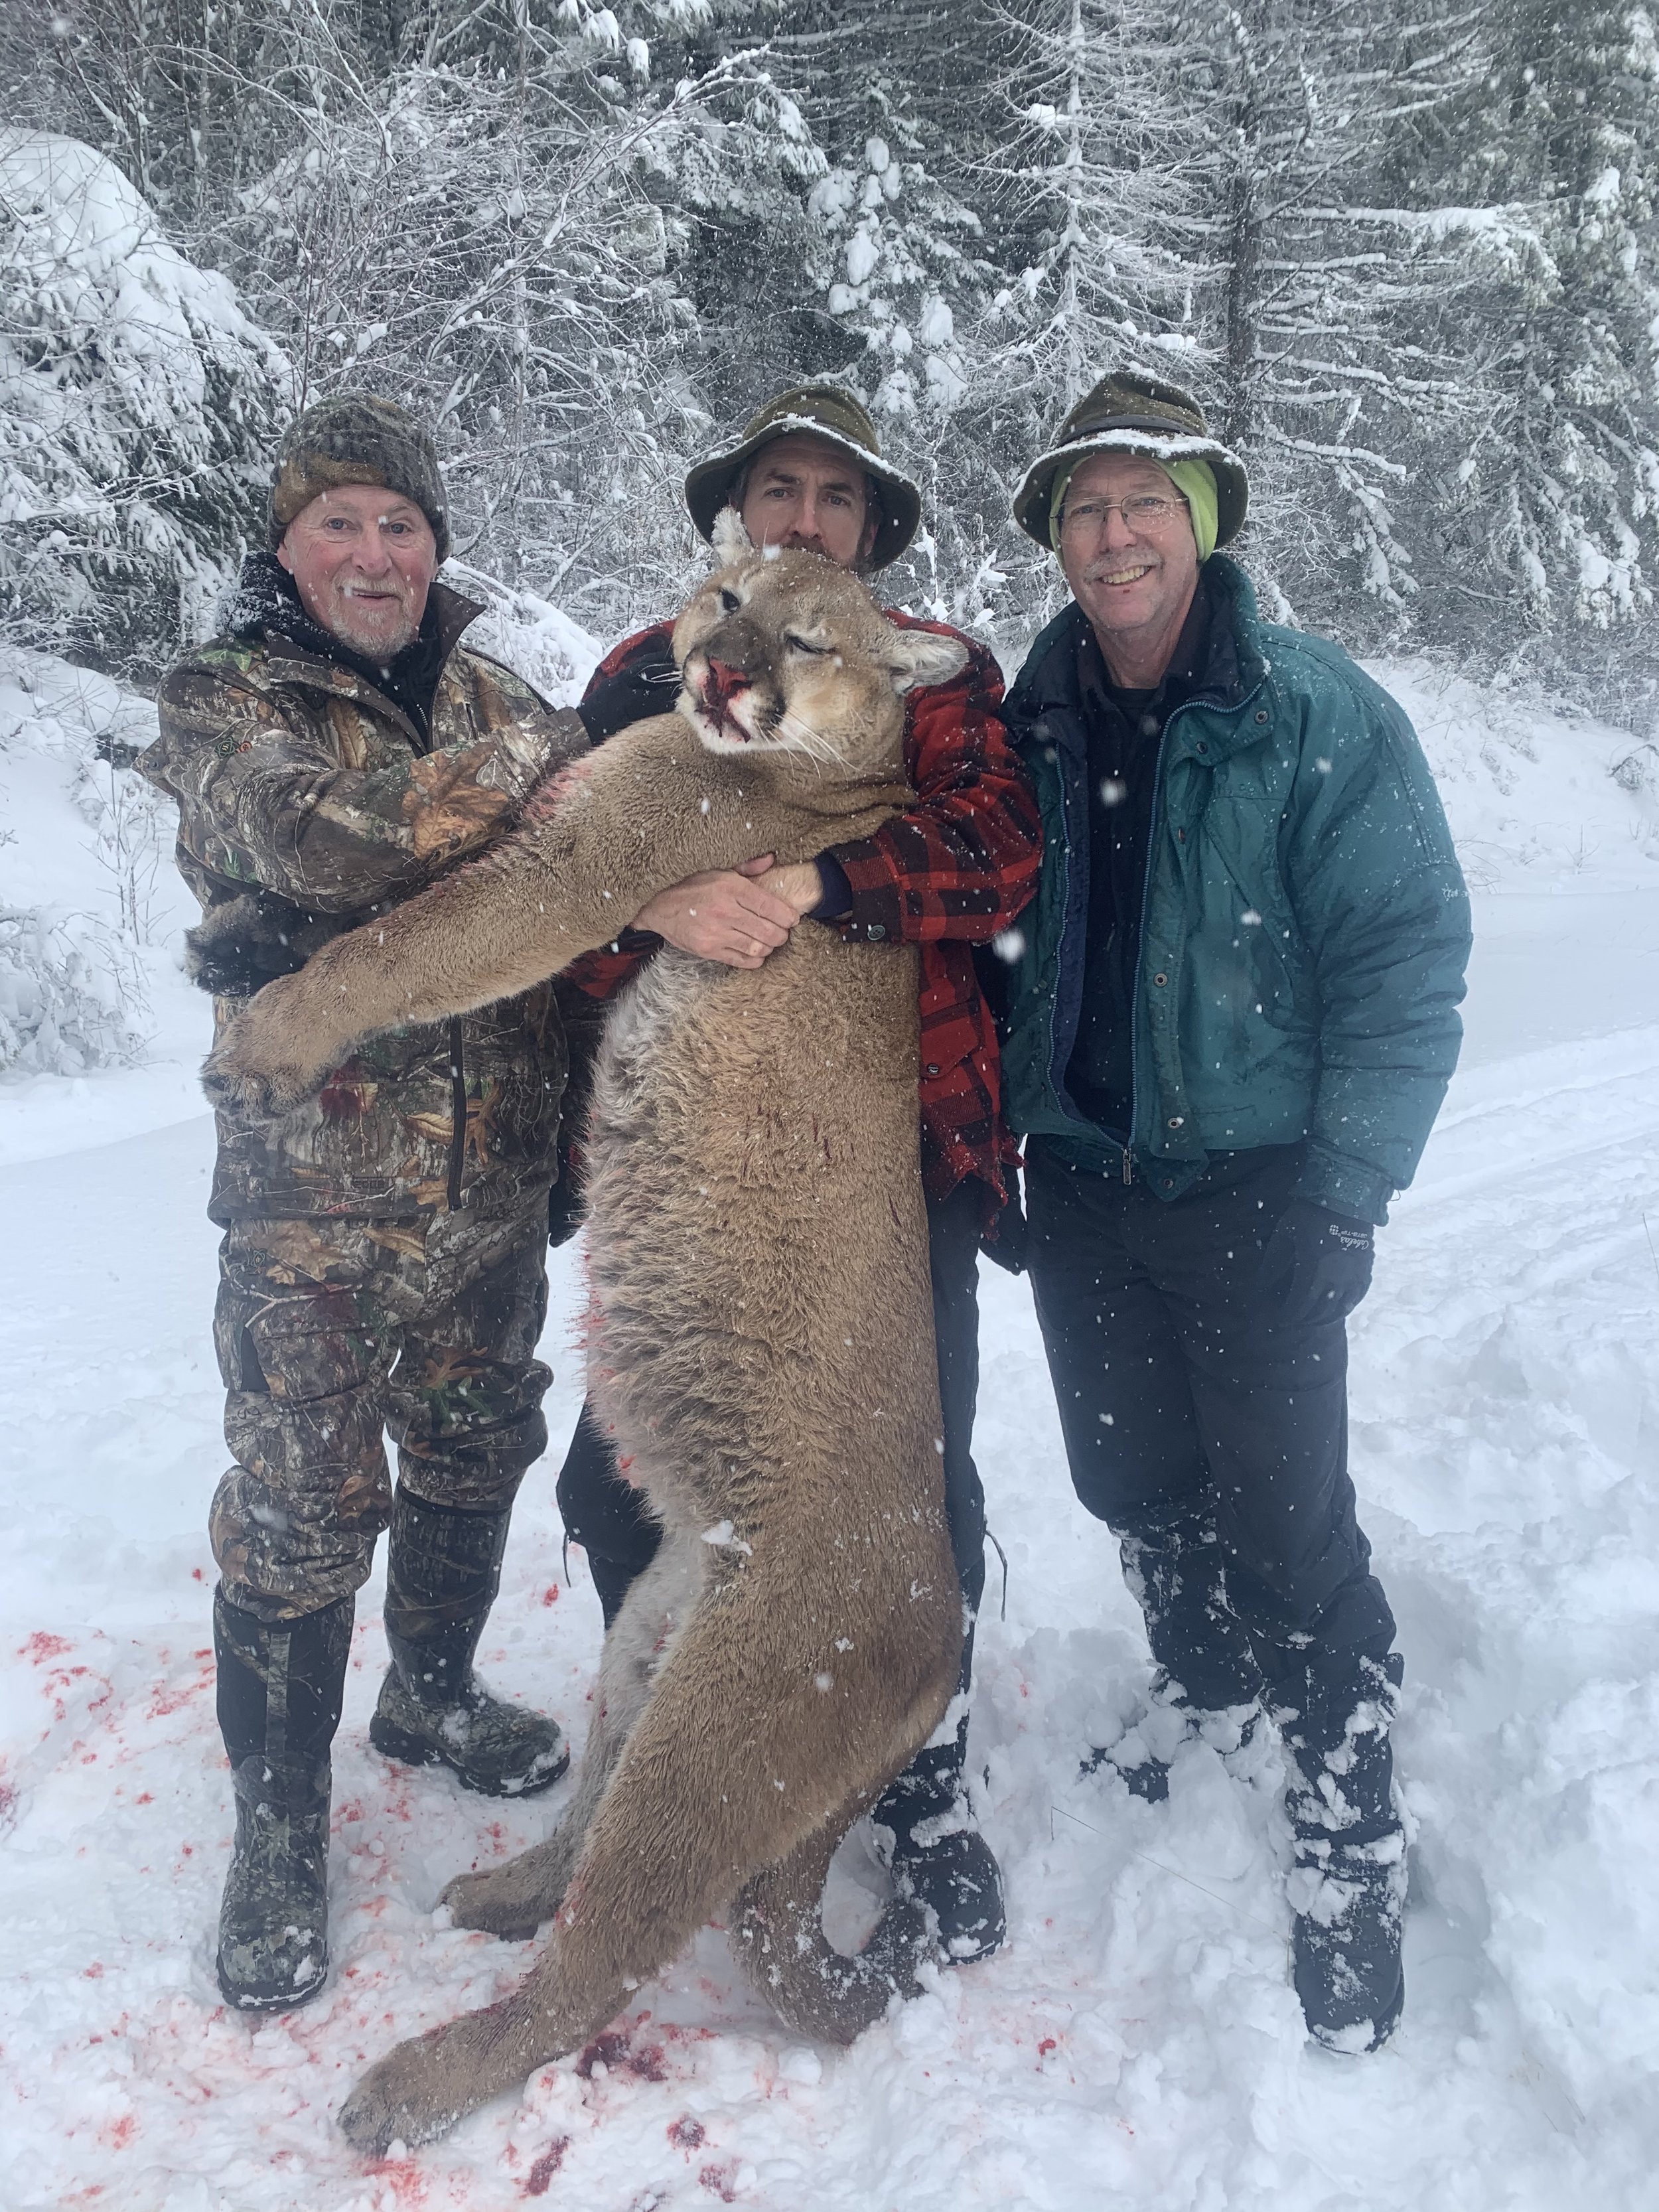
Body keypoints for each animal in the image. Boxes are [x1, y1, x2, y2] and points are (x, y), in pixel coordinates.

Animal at [202, 535, 972, 2154]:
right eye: (731, 596)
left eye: (807, 636)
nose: (719, 672)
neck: (825, 771)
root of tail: (941, 1641)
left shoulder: (583, 858)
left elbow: (403, 944)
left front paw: (270, 1035)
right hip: (646, 1643)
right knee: (591, 1845)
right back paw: (502, 1884)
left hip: (721, 1729)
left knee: (596, 1968)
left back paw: (417, 2073)